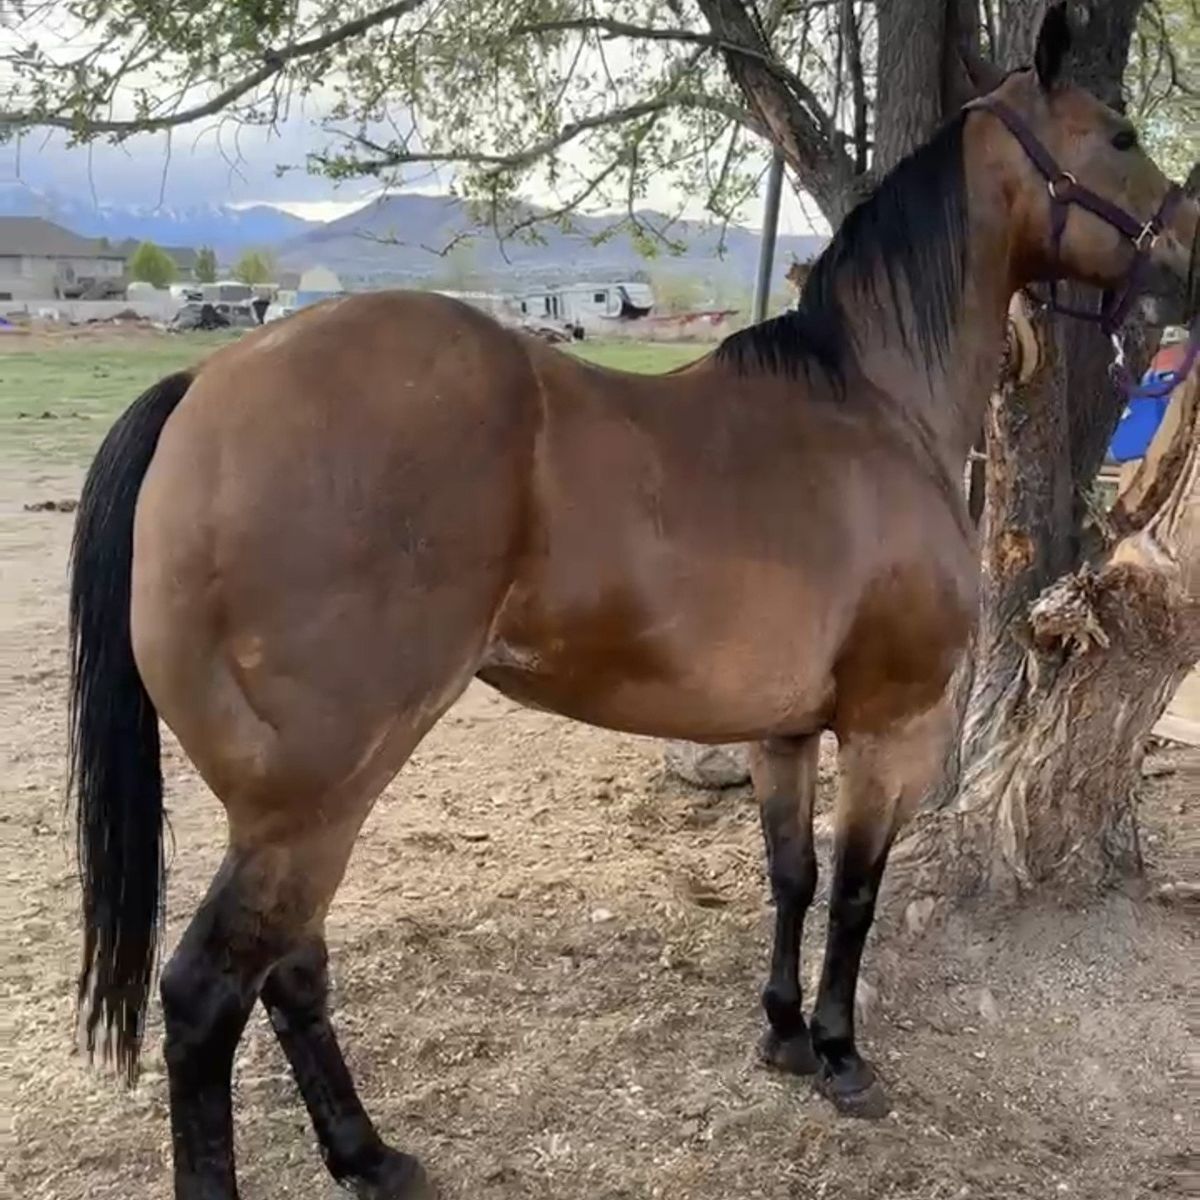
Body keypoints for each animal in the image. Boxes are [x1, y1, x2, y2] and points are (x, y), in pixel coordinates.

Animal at [67, 9, 1197, 1198]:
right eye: (1120, 135)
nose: (1190, 249)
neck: (872, 406)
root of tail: (208, 383)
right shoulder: (888, 727)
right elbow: (854, 891)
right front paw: (842, 1054)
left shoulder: (784, 731)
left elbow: (791, 878)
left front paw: (784, 1035)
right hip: (312, 800)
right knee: (207, 996)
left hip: (294, 812)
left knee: (291, 970)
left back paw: (369, 1157)